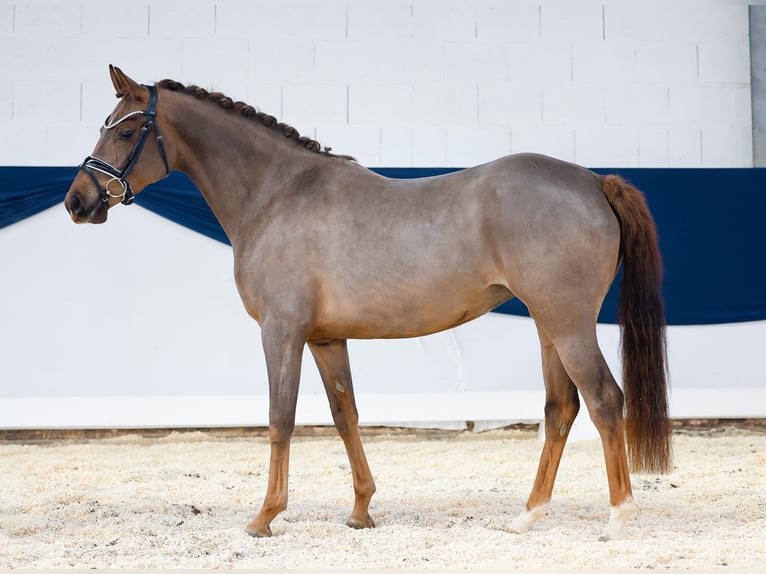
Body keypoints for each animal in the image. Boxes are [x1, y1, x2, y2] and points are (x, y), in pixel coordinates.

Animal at [66, 65, 668, 544]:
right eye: (104, 124)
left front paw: (264, 517)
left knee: (605, 401)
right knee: (560, 409)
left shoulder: (281, 332)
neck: (277, 194)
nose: (77, 201)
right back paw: (527, 516)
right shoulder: (325, 338)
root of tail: (594, 182)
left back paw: (618, 518)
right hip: (548, 325)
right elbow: (345, 415)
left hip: (569, 325)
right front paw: (360, 510)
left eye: (126, 129)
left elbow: (280, 417)